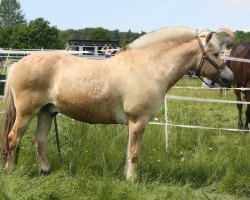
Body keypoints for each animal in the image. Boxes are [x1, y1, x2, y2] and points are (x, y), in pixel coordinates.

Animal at [1, 26, 234, 181]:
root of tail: (17, 64)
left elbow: (129, 152)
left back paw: (46, 171)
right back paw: (11, 171)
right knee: (13, 138)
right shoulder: (138, 121)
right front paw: (132, 180)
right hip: (26, 112)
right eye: (215, 54)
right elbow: (134, 152)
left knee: (39, 140)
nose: (229, 78)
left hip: (45, 112)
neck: (151, 68)